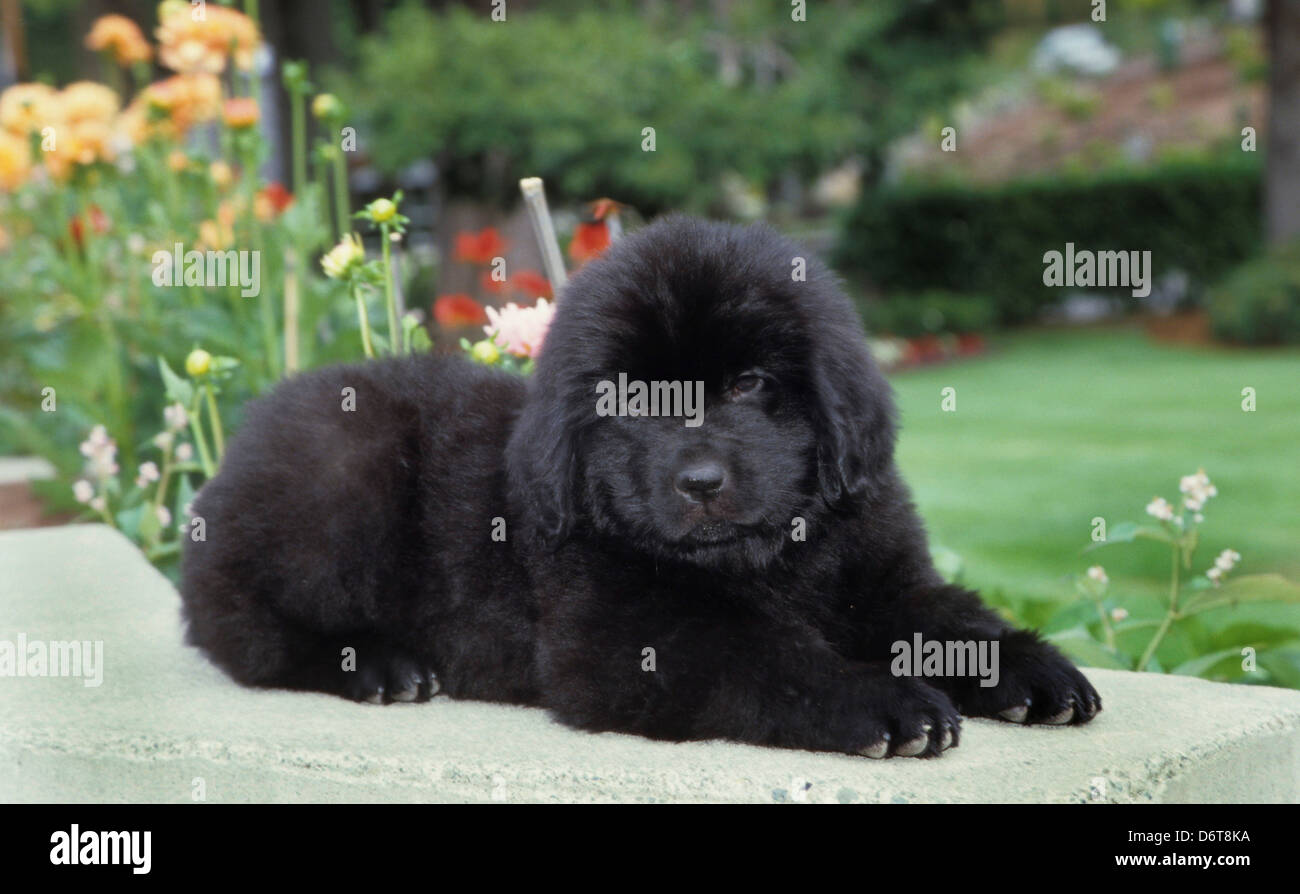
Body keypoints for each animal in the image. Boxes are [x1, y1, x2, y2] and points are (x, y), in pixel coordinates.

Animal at [180, 214, 1097, 753]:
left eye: (750, 384)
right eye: (631, 399)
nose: (698, 480)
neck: (771, 557)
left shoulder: (883, 576)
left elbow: (951, 617)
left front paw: (1035, 668)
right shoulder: (623, 639)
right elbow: (769, 656)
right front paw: (883, 701)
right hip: (344, 468)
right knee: (250, 634)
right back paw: (378, 666)